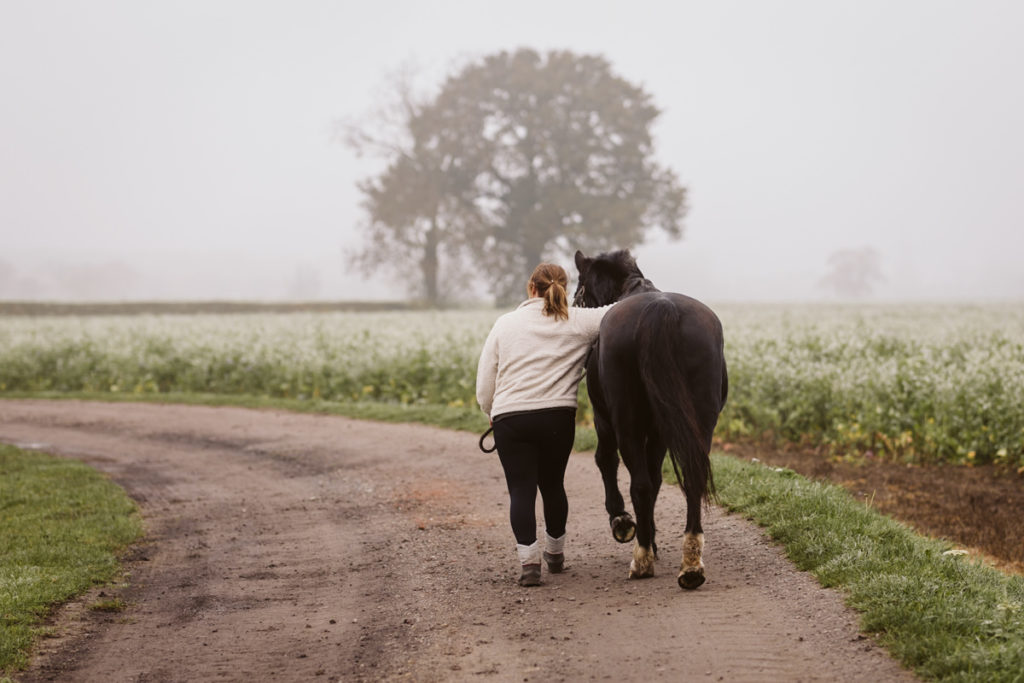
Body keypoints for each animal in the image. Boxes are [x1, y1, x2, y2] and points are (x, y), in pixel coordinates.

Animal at [573, 249, 728, 589]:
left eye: (578, 292)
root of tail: (661, 309)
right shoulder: (660, 431)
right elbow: (657, 479)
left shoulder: (605, 420)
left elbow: (607, 461)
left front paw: (623, 522)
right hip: (700, 422)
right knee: (693, 479)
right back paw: (691, 565)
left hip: (626, 422)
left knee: (639, 483)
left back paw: (642, 558)